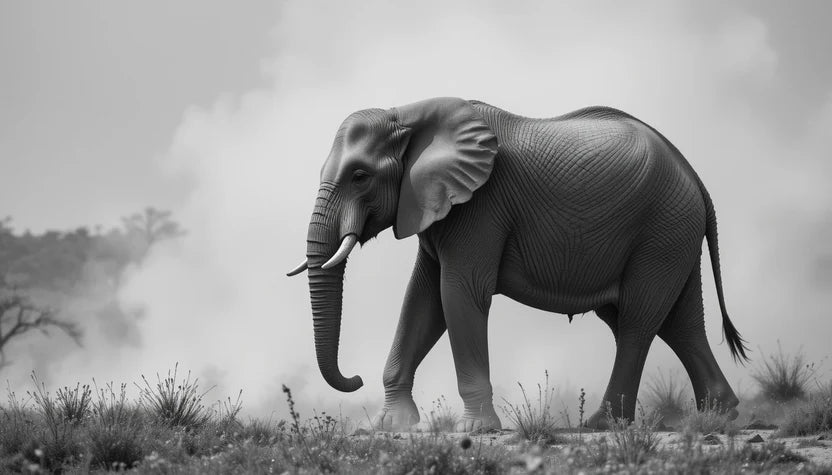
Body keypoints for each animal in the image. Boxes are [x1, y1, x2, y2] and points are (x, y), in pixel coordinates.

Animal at [287, 97, 749, 432]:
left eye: (360, 176)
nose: (355, 379)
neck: (408, 113)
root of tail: (697, 179)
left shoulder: (481, 207)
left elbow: (458, 294)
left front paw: (476, 431)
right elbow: (422, 302)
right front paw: (387, 427)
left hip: (662, 229)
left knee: (638, 321)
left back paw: (602, 425)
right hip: (672, 233)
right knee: (676, 323)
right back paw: (719, 415)